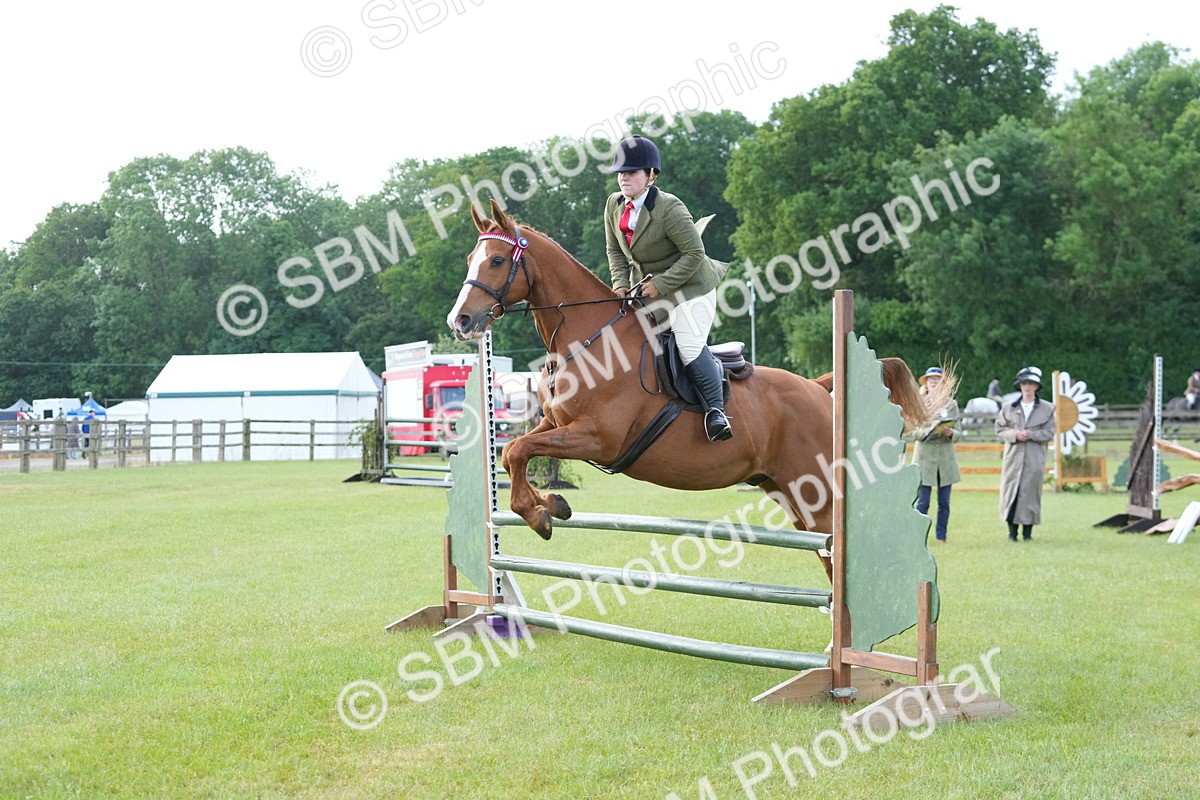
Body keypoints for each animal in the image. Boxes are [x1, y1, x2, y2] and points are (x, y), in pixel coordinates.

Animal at [448, 199, 938, 578]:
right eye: (469, 260)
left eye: (496, 261)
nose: (461, 321)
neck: (590, 339)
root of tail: (818, 387)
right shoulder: (556, 424)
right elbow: (517, 451)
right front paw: (552, 504)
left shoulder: (599, 437)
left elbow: (517, 450)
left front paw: (540, 516)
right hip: (787, 489)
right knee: (824, 550)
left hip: (813, 488)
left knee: (836, 546)